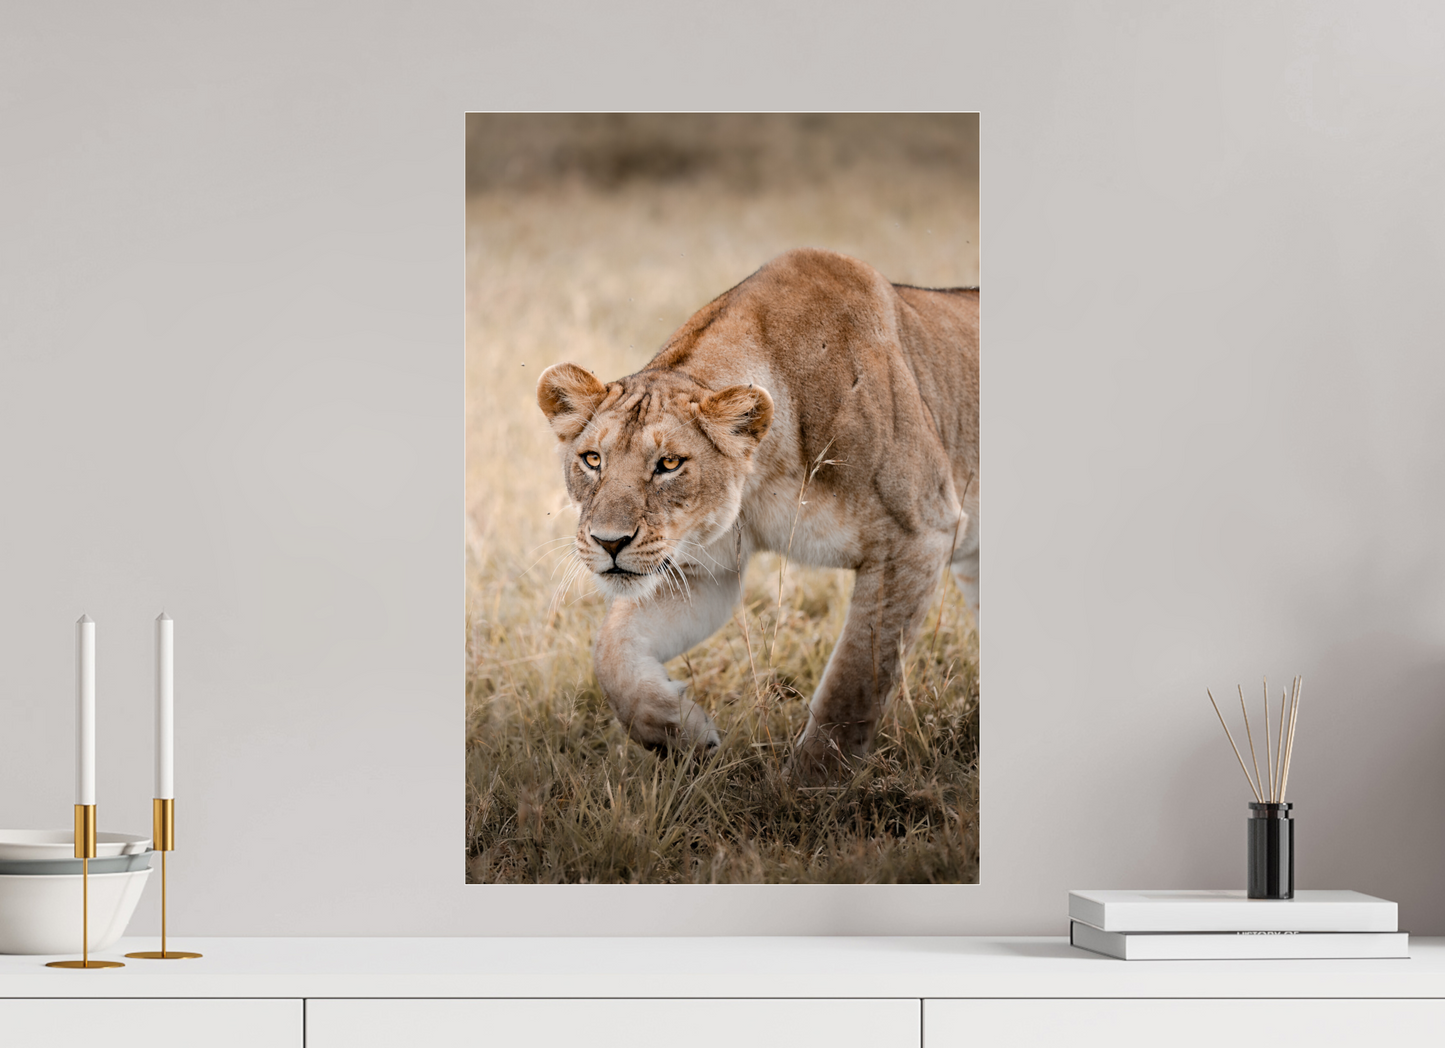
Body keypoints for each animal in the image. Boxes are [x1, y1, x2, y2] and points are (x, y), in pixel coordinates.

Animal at [537, 248, 978, 782]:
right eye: (592, 459)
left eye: (669, 464)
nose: (609, 542)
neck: (763, 477)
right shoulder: (704, 569)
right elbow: (610, 652)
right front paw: (681, 734)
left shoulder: (918, 536)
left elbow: (855, 680)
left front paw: (810, 785)